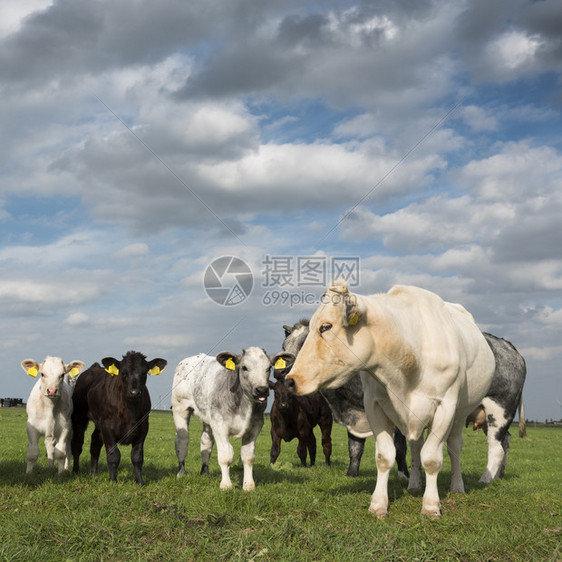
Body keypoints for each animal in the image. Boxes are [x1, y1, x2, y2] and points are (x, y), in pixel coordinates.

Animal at [70, 348, 166, 484]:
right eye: (123, 373)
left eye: (144, 373)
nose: (134, 392)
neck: (130, 410)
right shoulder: (107, 426)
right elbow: (113, 454)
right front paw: (113, 481)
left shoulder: (143, 426)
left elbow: (137, 456)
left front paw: (139, 481)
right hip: (79, 417)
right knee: (77, 444)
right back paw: (75, 471)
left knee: (95, 443)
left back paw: (93, 474)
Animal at [171, 346, 288, 490]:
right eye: (244, 367)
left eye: (269, 368)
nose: (261, 389)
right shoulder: (219, 425)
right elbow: (226, 456)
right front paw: (226, 485)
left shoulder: (255, 426)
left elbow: (248, 456)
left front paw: (248, 485)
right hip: (180, 408)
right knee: (182, 441)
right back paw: (181, 473)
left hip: (208, 418)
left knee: (206, 443)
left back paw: (205, 473)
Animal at [282, 320, 404, 476]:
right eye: (284, 346)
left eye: (304, 343)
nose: (282, 371)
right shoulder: (353, 415)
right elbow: (354, 447)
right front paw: (351, 473)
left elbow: (400, 448)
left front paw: (404, 475)